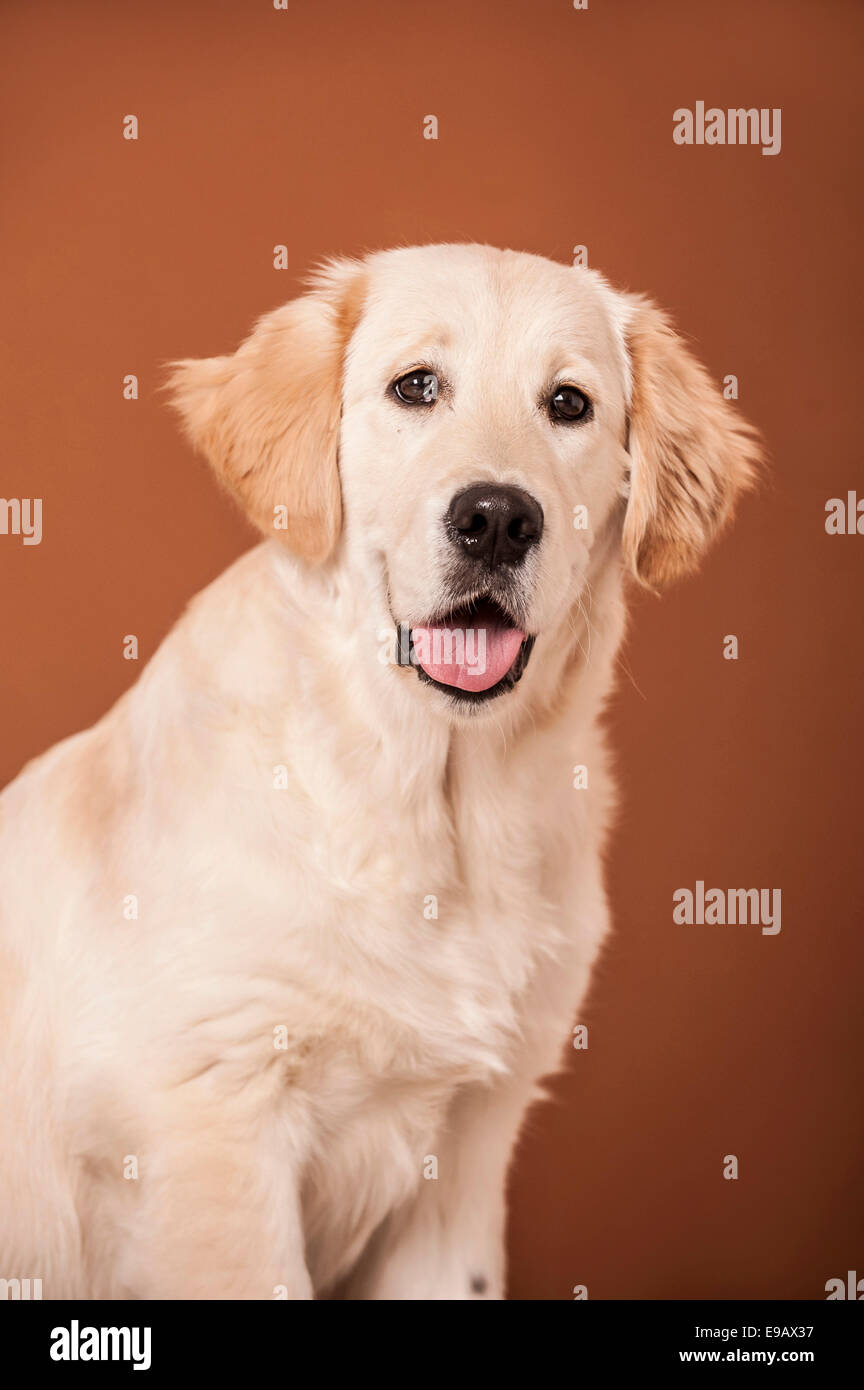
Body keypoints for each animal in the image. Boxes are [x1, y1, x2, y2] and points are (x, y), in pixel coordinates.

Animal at [0, 244, 761, 1295]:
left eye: (569, 404)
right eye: (415, 387)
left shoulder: (468, 1153)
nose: (496, 519)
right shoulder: (214, 1131)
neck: (433, 799)